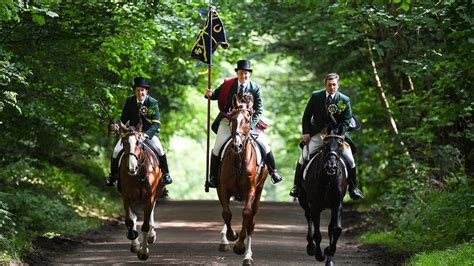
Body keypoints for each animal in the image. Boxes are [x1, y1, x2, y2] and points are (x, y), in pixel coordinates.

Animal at [119, 123, 166, 260]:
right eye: (124, 142)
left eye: (139, 142)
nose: (131, 168)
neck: (139, 173)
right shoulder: (126, 197)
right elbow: (130, 220)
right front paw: (134, 243)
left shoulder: (149, 197)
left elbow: (145, 225)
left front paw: (144, 252)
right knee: (134, 217)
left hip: (156, 193)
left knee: (150, 212)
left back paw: (151, 235)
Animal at [218, 92, 268, 264]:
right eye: (232, 119)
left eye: (247, 119)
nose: (236, 145)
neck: (239, 159)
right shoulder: (223, 188)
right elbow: (226, 213)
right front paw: (231, 235)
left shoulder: (251, 190)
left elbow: (246, 213)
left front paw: (240, 244)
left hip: (258, 192)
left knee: (251, 221)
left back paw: (247, 256)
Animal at [298, 133, 350, 266]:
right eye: (325, 145)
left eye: (340, 145)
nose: (331, 166)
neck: (328, 180)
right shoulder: (316, 206)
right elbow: (317, 234)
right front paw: (320, 255)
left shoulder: (337, 205)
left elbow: (336, 229)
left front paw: (329, 253)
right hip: (304, 201)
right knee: (309, 217)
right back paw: (311, 247)